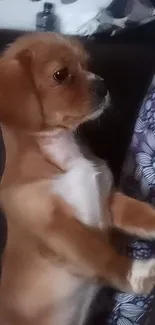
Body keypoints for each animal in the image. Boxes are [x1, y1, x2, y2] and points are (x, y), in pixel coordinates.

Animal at [0, 32, 155, 322]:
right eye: (61, 75)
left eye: (88, 65)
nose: (103, 85)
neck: (67, 154)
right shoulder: (56, 226)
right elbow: (101, 254)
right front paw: (138, 274)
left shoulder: (110, 200)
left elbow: (142, 213)